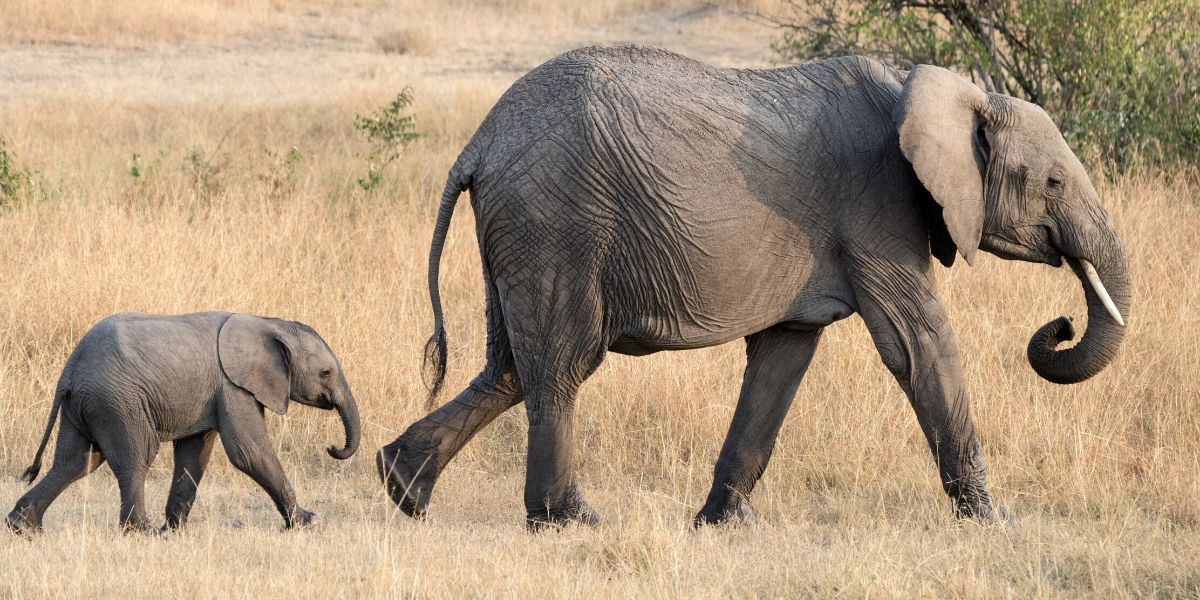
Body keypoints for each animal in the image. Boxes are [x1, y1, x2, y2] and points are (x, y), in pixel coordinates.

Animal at [7, 312, 360, 532]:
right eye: (325, 373)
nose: (332, 448)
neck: (269, 323)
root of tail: (70, 368)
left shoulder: (213, 393)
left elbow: (195, 454)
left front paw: (174, 530)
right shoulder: (233, 387)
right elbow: (248, 453)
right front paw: (308, 522)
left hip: (86, 405)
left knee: (75, 463)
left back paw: (22, 528)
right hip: (117, 402)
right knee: (135, 458)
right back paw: (142, 532)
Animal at [379, 44, 1128, 528]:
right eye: (1052, 183)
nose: (1059, 326)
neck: (937, 94)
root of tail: (480, 143)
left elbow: (783, 357)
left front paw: (725, 524)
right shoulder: (878, 211)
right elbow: (917, 345)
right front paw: (995, 521)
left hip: (522, 227)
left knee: (511, 366)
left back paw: (402, 487)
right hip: (555, 220)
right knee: (563, 364)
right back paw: (572, 521)